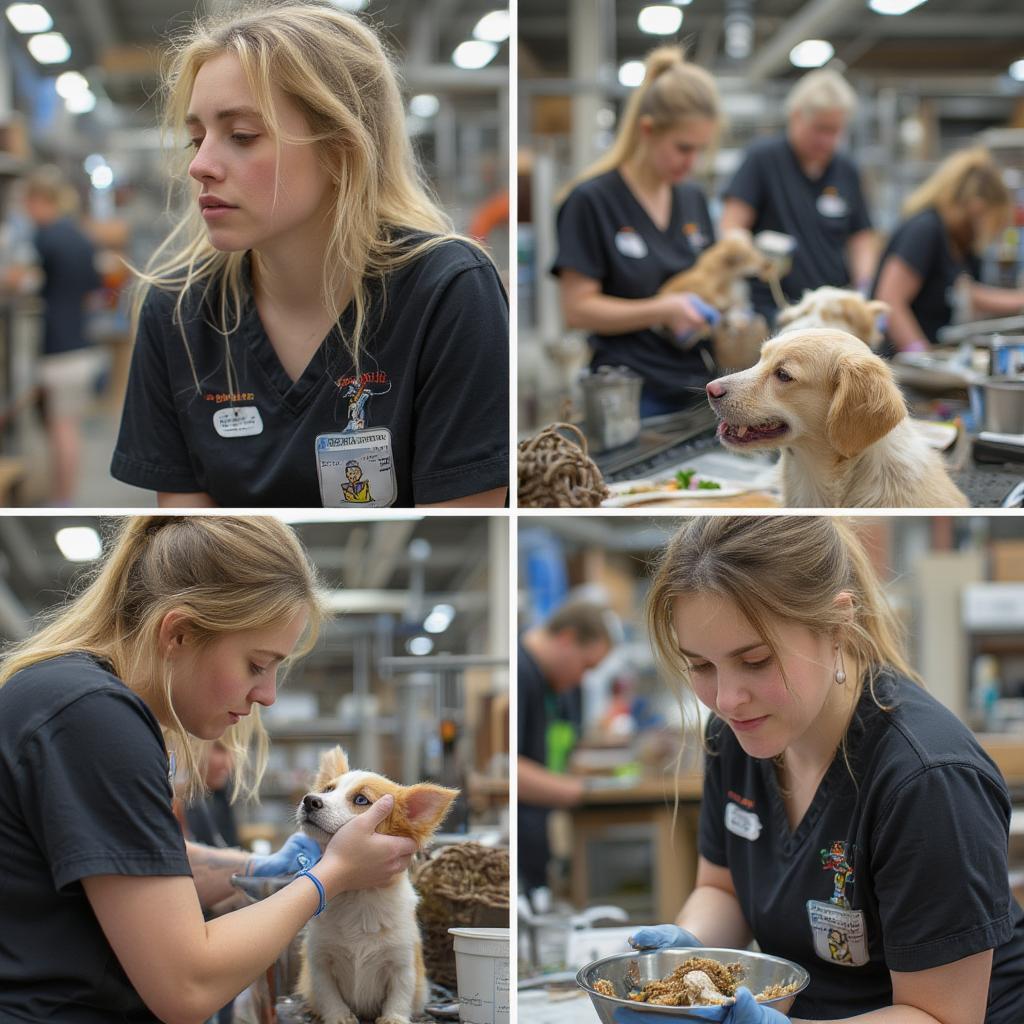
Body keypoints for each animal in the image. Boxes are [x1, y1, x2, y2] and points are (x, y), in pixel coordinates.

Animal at [294, 745, 458, 1024]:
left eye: (361, 800)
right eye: (327, 790)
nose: (310, 800)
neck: (359, 895)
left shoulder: (402, 962)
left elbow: (399, 995)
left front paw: (394, 1019)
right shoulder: (319, 960)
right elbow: (328, 994)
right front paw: (340, 1017)